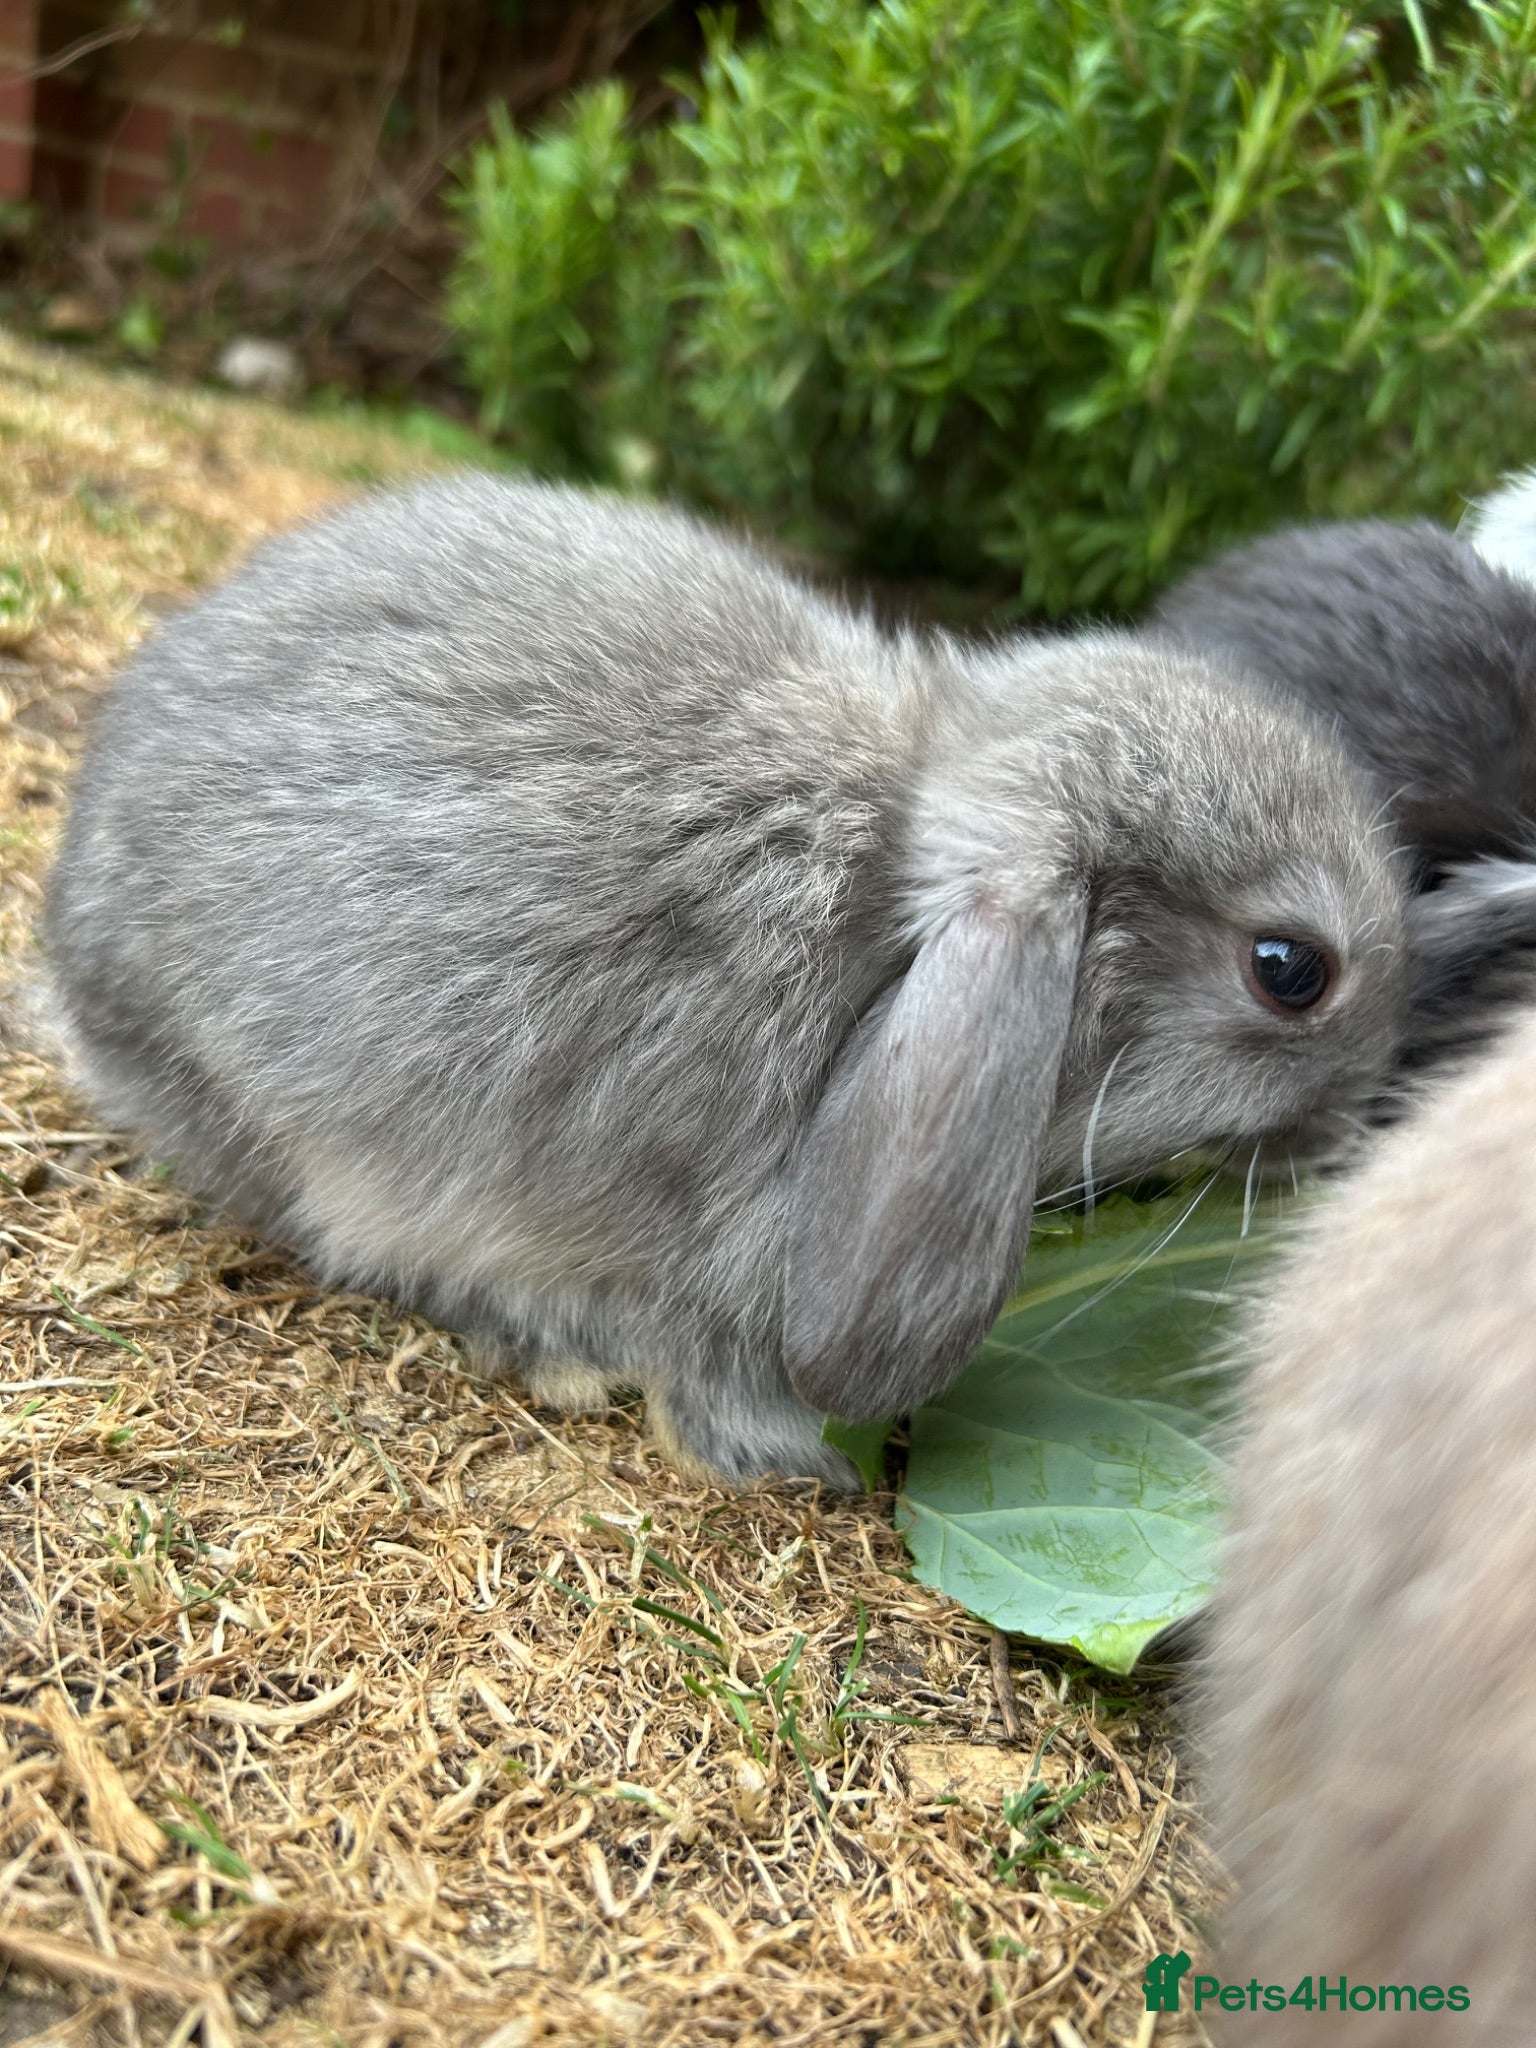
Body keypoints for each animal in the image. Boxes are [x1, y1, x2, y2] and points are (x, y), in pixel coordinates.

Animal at [40, 474, 1406, 1486]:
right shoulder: (717, 1240)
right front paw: (795, 1455)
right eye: (1291, 970)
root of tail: (68, 956)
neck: (889, 918)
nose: (1355, 1126)